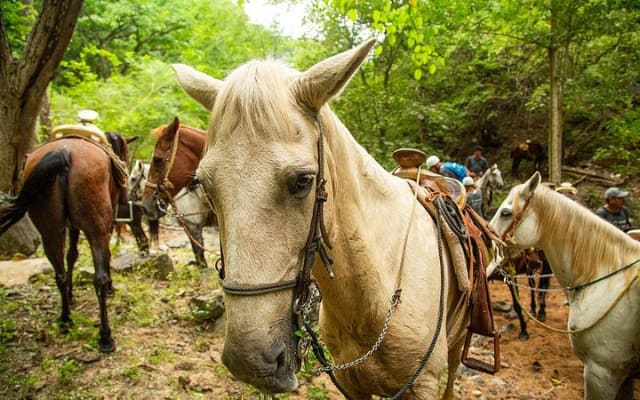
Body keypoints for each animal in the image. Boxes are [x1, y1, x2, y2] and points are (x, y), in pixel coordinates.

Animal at [0, 132, 137, 353]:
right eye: (123, 150)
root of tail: (64, 152)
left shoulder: (71, 226)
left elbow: (72, 255)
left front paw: (71, 295)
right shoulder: (102, 228)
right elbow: (101, 257)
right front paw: (110, 288)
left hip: (50, 230)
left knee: (60, 274)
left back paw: (65, 319)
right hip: (95, 228)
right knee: (98, 278)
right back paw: (106, 336)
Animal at [171, 40, 484, 399]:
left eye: (303, 181)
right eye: (205, 185)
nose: (249, 362)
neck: (376, 297)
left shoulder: (423, 385)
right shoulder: (351, 382)